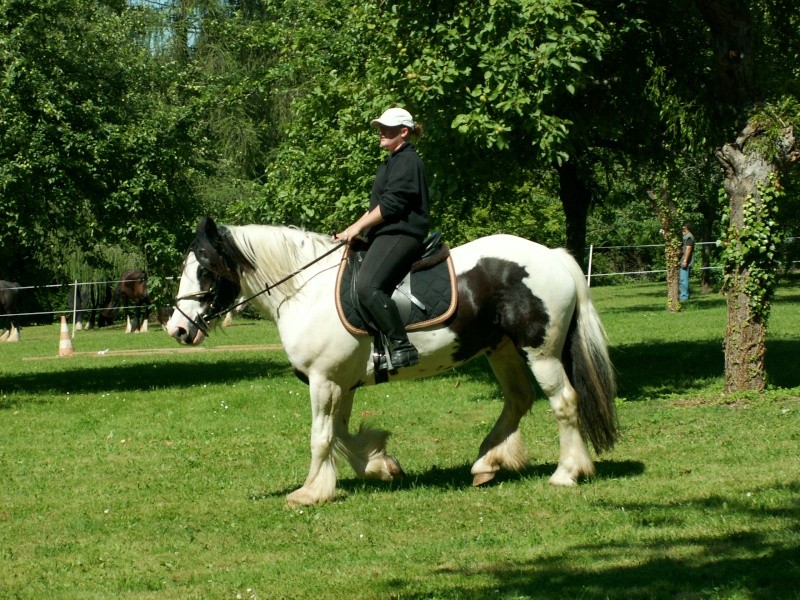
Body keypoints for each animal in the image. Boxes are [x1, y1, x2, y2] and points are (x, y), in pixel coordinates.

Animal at [167, 218, 620, 504]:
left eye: (204, 271)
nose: (178, 330)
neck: (304, 290)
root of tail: (553, 256)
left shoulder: (324, 380)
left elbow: (321, 437)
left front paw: (310, 493)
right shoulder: (341, 382)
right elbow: (340, 434)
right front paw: (380, 465)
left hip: (539, 351)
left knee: (564, 402)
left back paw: (566, 473)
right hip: (503, 350)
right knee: (518, 400)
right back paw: (487, 462)